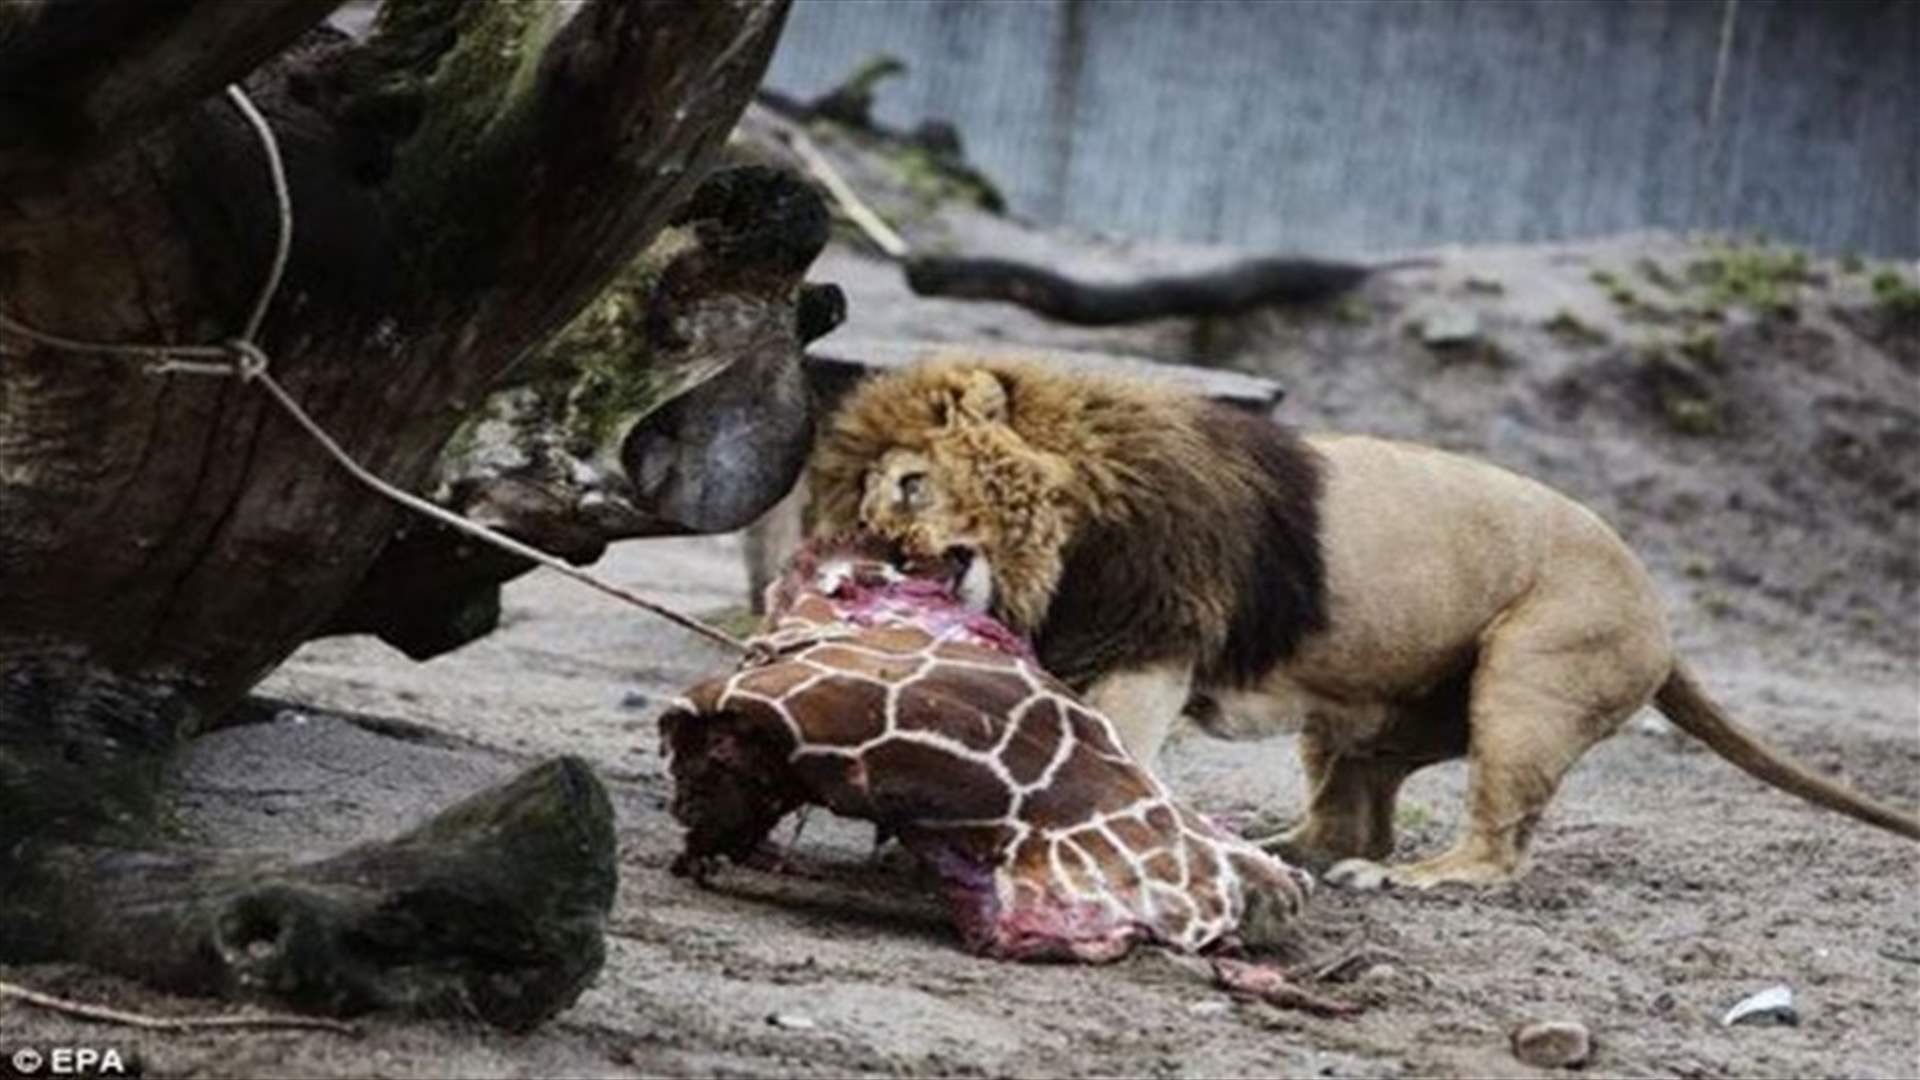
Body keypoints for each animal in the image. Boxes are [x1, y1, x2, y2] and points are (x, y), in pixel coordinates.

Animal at [806, 357, 1920, 890]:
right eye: (862, 511)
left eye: (907, 486)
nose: (883, 554)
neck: (1070, 524)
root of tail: (1664, 615)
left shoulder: (1154, 642)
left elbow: (1110, 747)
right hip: (1369, 716)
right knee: (1351, 813)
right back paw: (1287, 849)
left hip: (1530, 680)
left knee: (1495, 847)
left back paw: (1410, 880)